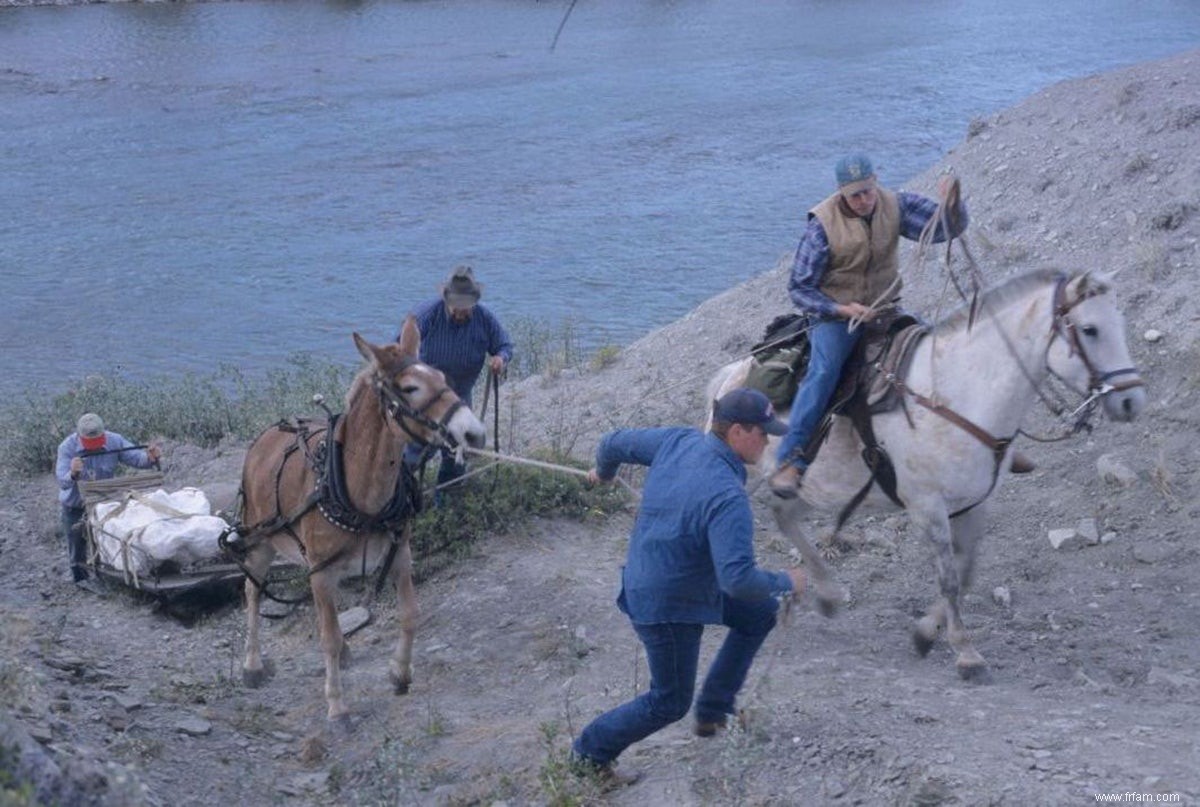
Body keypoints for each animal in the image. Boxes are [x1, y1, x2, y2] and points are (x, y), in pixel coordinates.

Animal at [705, 271, 1147, 682]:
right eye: (1089, 329)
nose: (1130, 400)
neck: (957, 393)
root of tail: (729, 376)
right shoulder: (928, 508)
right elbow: (949, 579)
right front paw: (967, 654)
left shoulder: (975, 503)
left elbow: (965, 573)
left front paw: (925, 634)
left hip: (809, 488)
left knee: (786, 518)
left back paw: (828, 594)